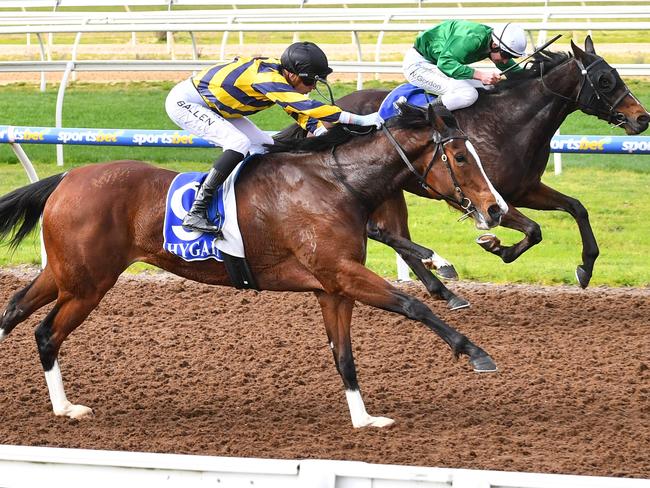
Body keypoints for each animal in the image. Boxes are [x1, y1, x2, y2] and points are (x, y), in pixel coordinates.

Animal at [0, 102, 506, 428]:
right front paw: (476, 353)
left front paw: (364, 419)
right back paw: (67, 409)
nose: (496, 209)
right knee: (45, 332)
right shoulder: (344, 274)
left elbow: (343, 356)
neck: (337, 185)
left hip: (64, 273)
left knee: (14, 308)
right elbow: (412, 306)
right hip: (87, 284)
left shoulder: (333, 288)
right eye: (461, 156)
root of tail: (67, 178)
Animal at [278, 37, 648, 298]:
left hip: (389, 187)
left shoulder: (525, 189)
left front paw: (586, 267)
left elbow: (576, 208)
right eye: (604, 80)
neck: (509, 122)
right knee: (380, 231)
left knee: (395, 234)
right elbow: (533, 230)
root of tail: (328, 109)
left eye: (616, 75)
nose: (641, 118)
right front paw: (496, 246)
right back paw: (440, 276)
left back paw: (442, 287)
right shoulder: (483, 199)